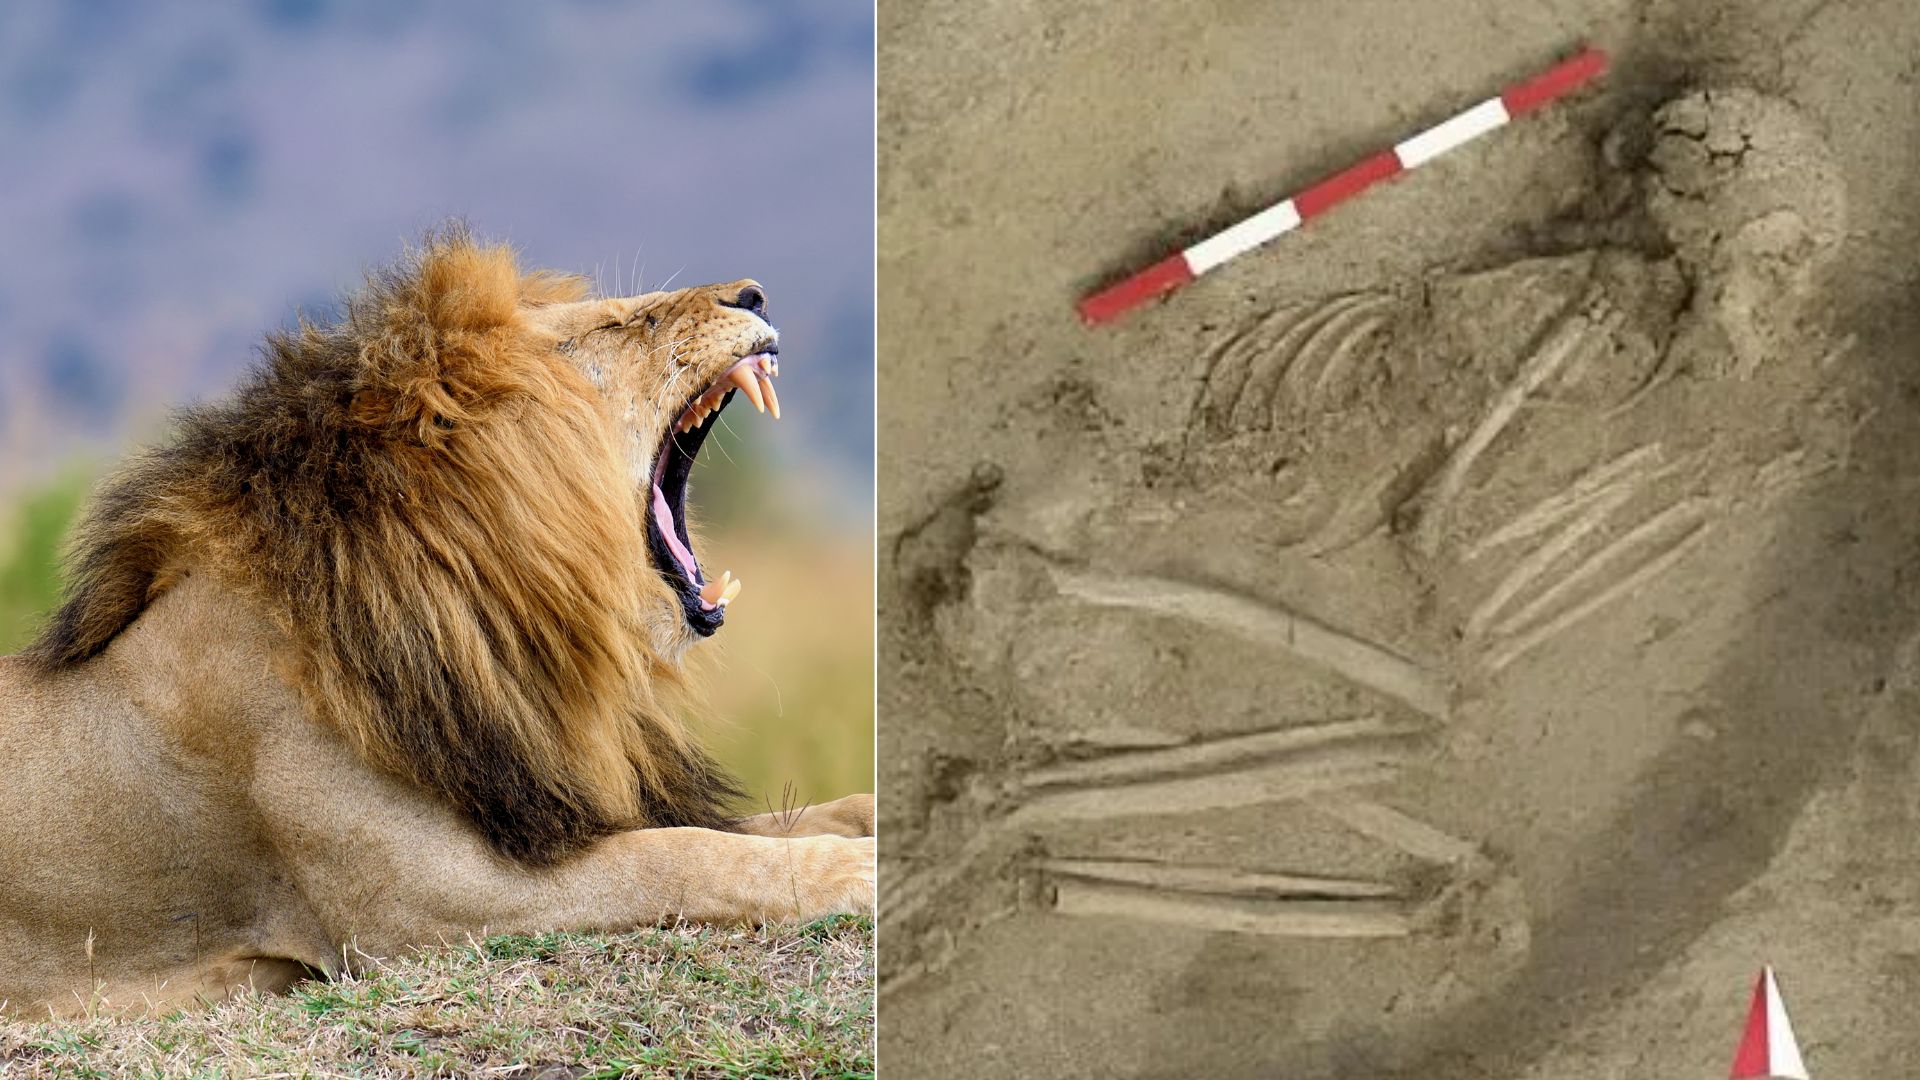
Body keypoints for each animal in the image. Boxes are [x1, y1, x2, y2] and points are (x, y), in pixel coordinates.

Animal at [0, 230, 874, 1016]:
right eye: (619, 324)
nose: (753, 294)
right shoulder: (418, 903)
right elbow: (683, 858)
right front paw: (856, 872)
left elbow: (763, 823)